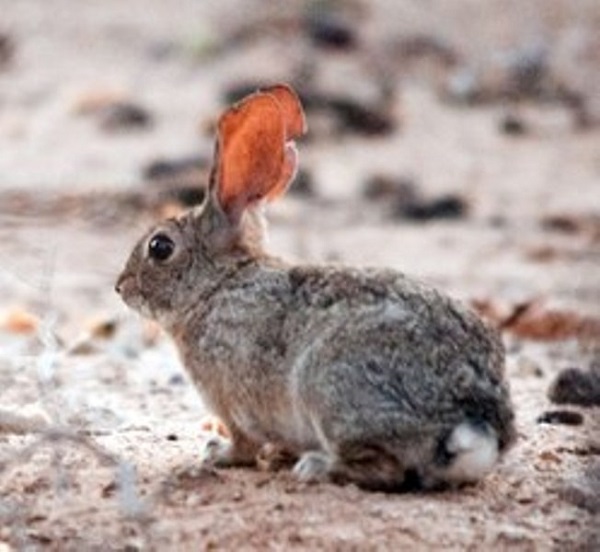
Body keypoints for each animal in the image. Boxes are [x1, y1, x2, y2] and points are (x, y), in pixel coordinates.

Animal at [117, 83, 516, 492]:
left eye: (160, 247)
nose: (120, 287)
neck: (215, 286)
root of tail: (468, 421)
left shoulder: (232, 403)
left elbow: (243, 444)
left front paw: (218, 453)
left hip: (327, 390)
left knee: (382, 469)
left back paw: (316, 467)